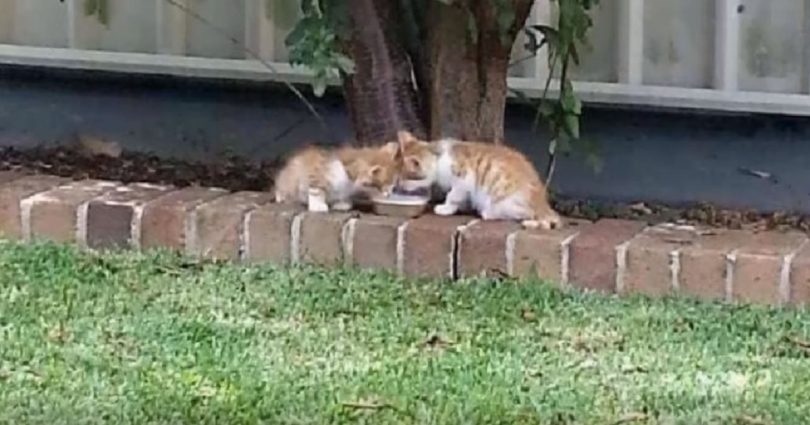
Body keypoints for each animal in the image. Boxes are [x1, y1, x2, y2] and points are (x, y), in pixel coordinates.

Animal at [394, 131, 560, 229]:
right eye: (399, 176)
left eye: (405, 178)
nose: (399, 186)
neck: (438, 157)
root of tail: (543, 203)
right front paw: (453, 208)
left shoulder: (464, 178)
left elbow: (453, 195)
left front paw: (446, 207)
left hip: (504, 197)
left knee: (525, 213)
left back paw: (489, 213)